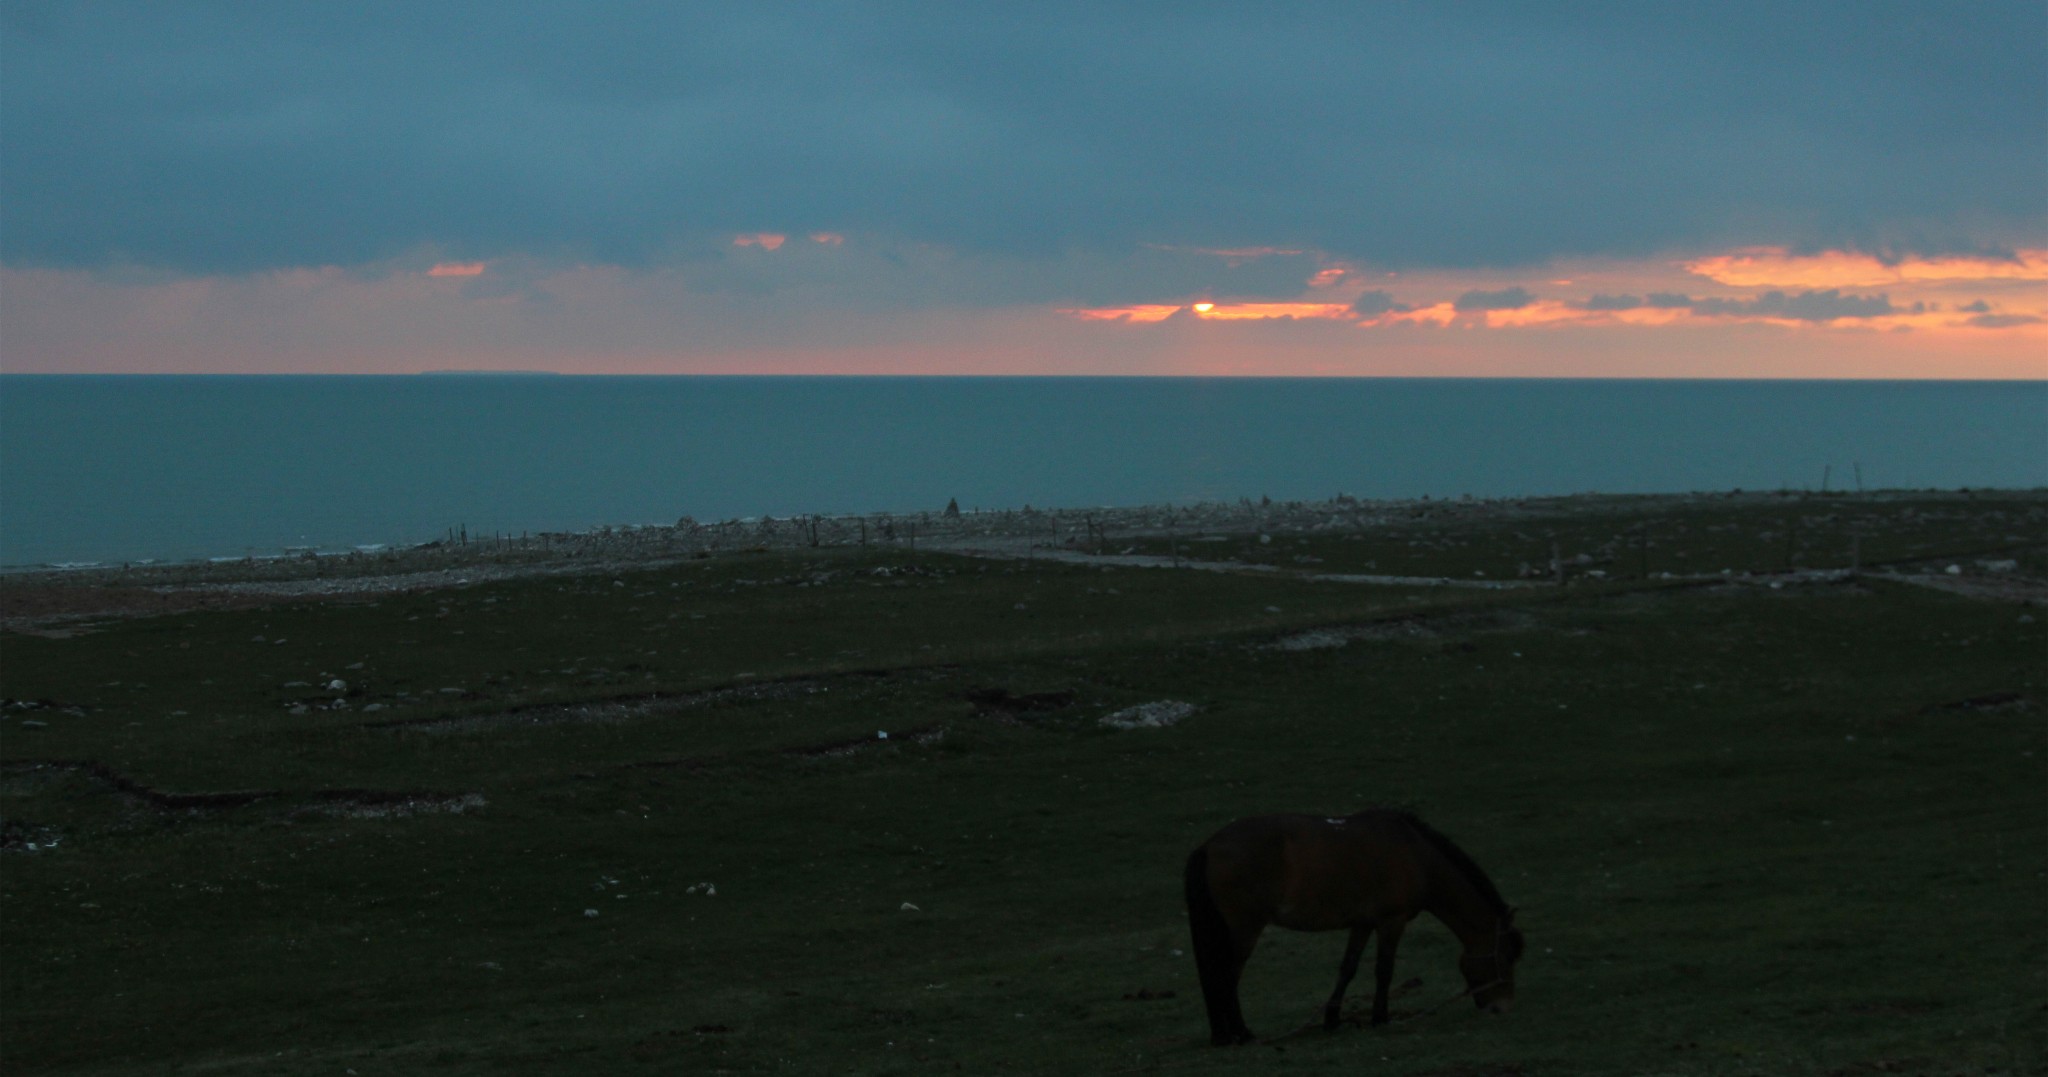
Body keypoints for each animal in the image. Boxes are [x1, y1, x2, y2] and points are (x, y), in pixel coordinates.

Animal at [1187, 814, 1523, 1048]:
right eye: (1506, 957)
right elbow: (1384, 970)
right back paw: (1242, 1034)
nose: (1503, 1008)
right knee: (1227, 977)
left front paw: (1333, 1019)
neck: (1416, 855)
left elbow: (1348, 968)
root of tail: (1209, 846)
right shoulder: (1392, 921)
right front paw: (1379, 1017)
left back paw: (1223, 1035)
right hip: (1244, 931)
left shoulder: (1363, 923)